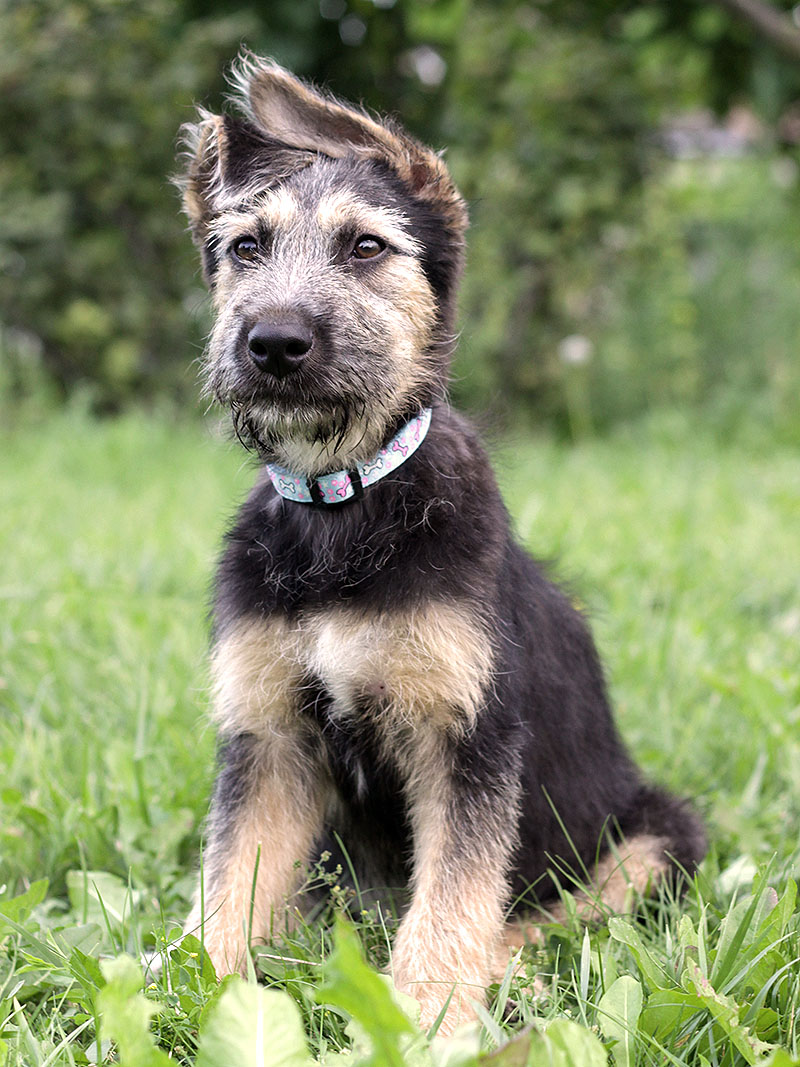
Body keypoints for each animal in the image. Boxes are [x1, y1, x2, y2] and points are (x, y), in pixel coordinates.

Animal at [178, 54, 706, 1033]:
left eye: (366, 248)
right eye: (246, 249)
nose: (273, 343)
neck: (345, 507)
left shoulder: (464, 735)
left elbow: (455, 895)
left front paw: (427, 1014)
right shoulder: (269, 738)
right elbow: (231, 879)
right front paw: (189, 985)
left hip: (659, 833)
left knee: (552, 915)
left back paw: (507, 975)